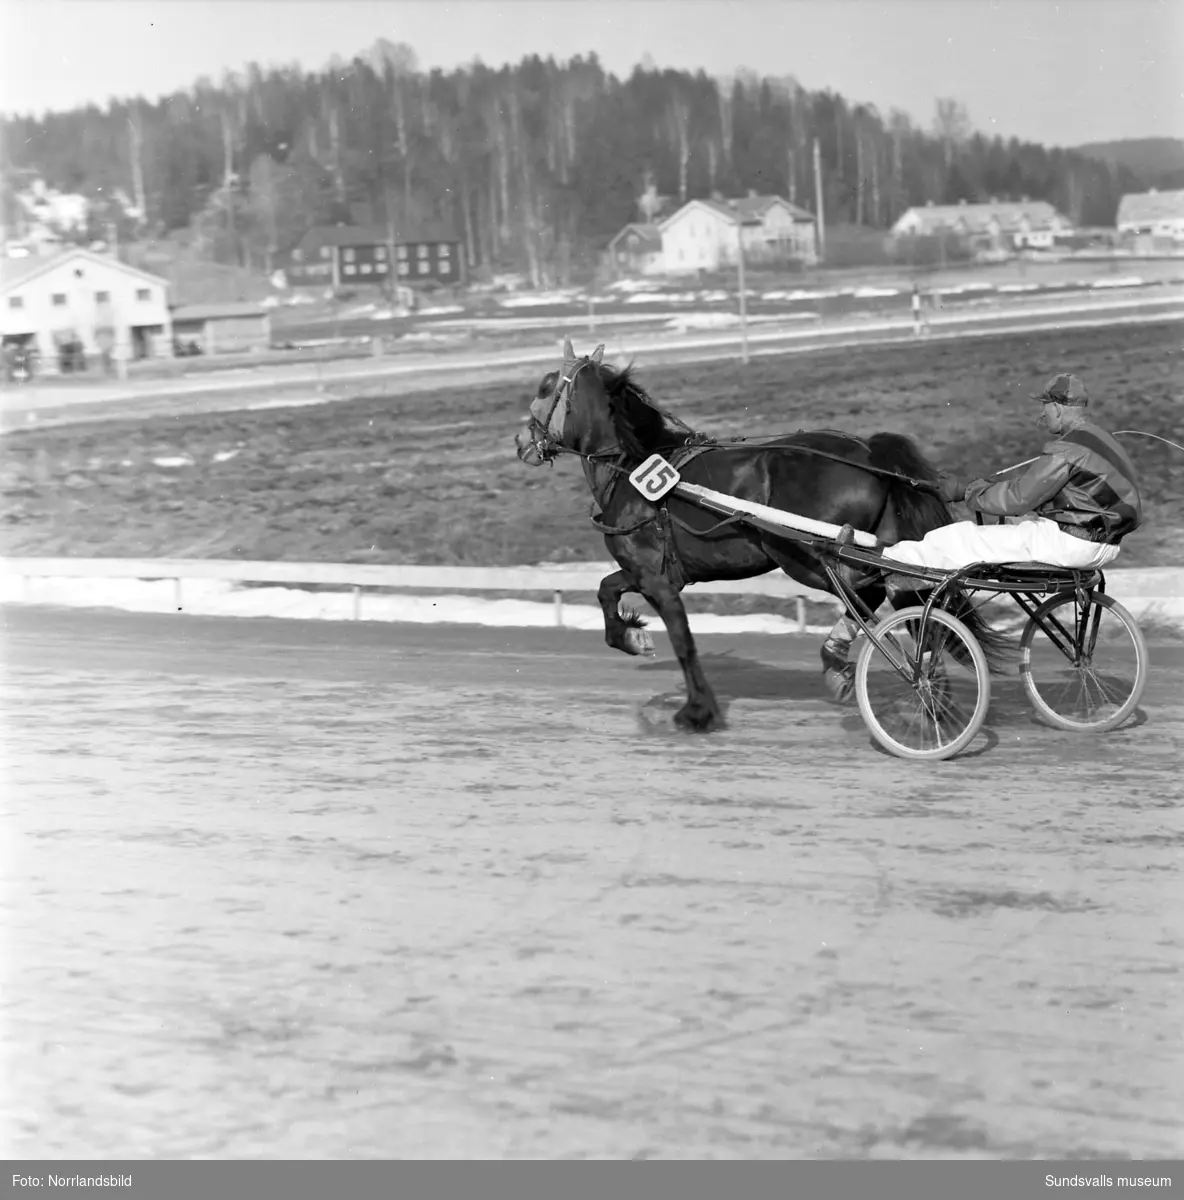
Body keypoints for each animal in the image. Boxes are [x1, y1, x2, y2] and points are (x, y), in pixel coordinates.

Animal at [511, 338, 1007, 729]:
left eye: (544, 387)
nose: (521, 442)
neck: (633, 469)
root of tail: (867, 452)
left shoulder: (656, 579)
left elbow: (683, 641)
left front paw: (697, 710)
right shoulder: (653, 573)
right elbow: (605, 590)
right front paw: (633, 636)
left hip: (807, 555)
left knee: (870, 594)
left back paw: (866, 669)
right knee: (906, 595)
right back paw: (911, 687)